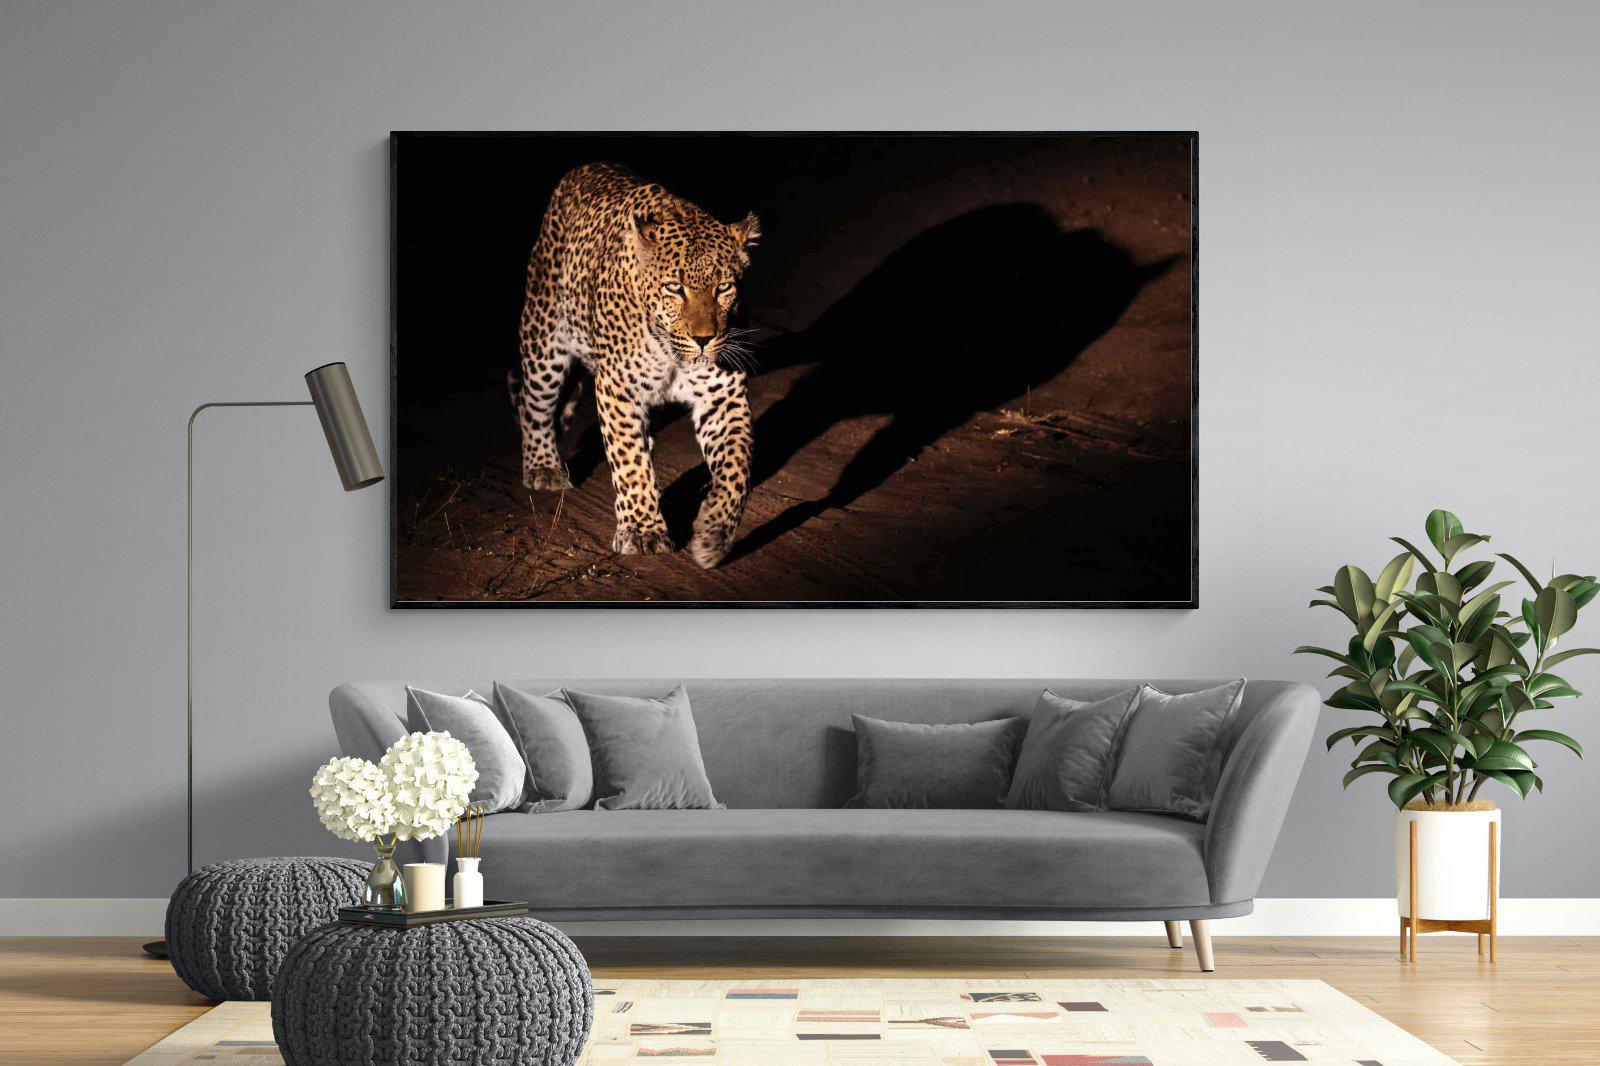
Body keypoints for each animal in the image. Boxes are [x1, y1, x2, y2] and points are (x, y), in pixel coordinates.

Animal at [510, 163, 760, 570]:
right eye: (674, 288)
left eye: (724, 288)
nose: (704, 339)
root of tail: (586, 167)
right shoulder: (618, 389)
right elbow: (628, 460)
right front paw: (643, 531)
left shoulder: (723, 394)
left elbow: (736, 466)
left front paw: (713, 533)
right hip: (544, 339)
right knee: (533, 405)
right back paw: (543, 466)